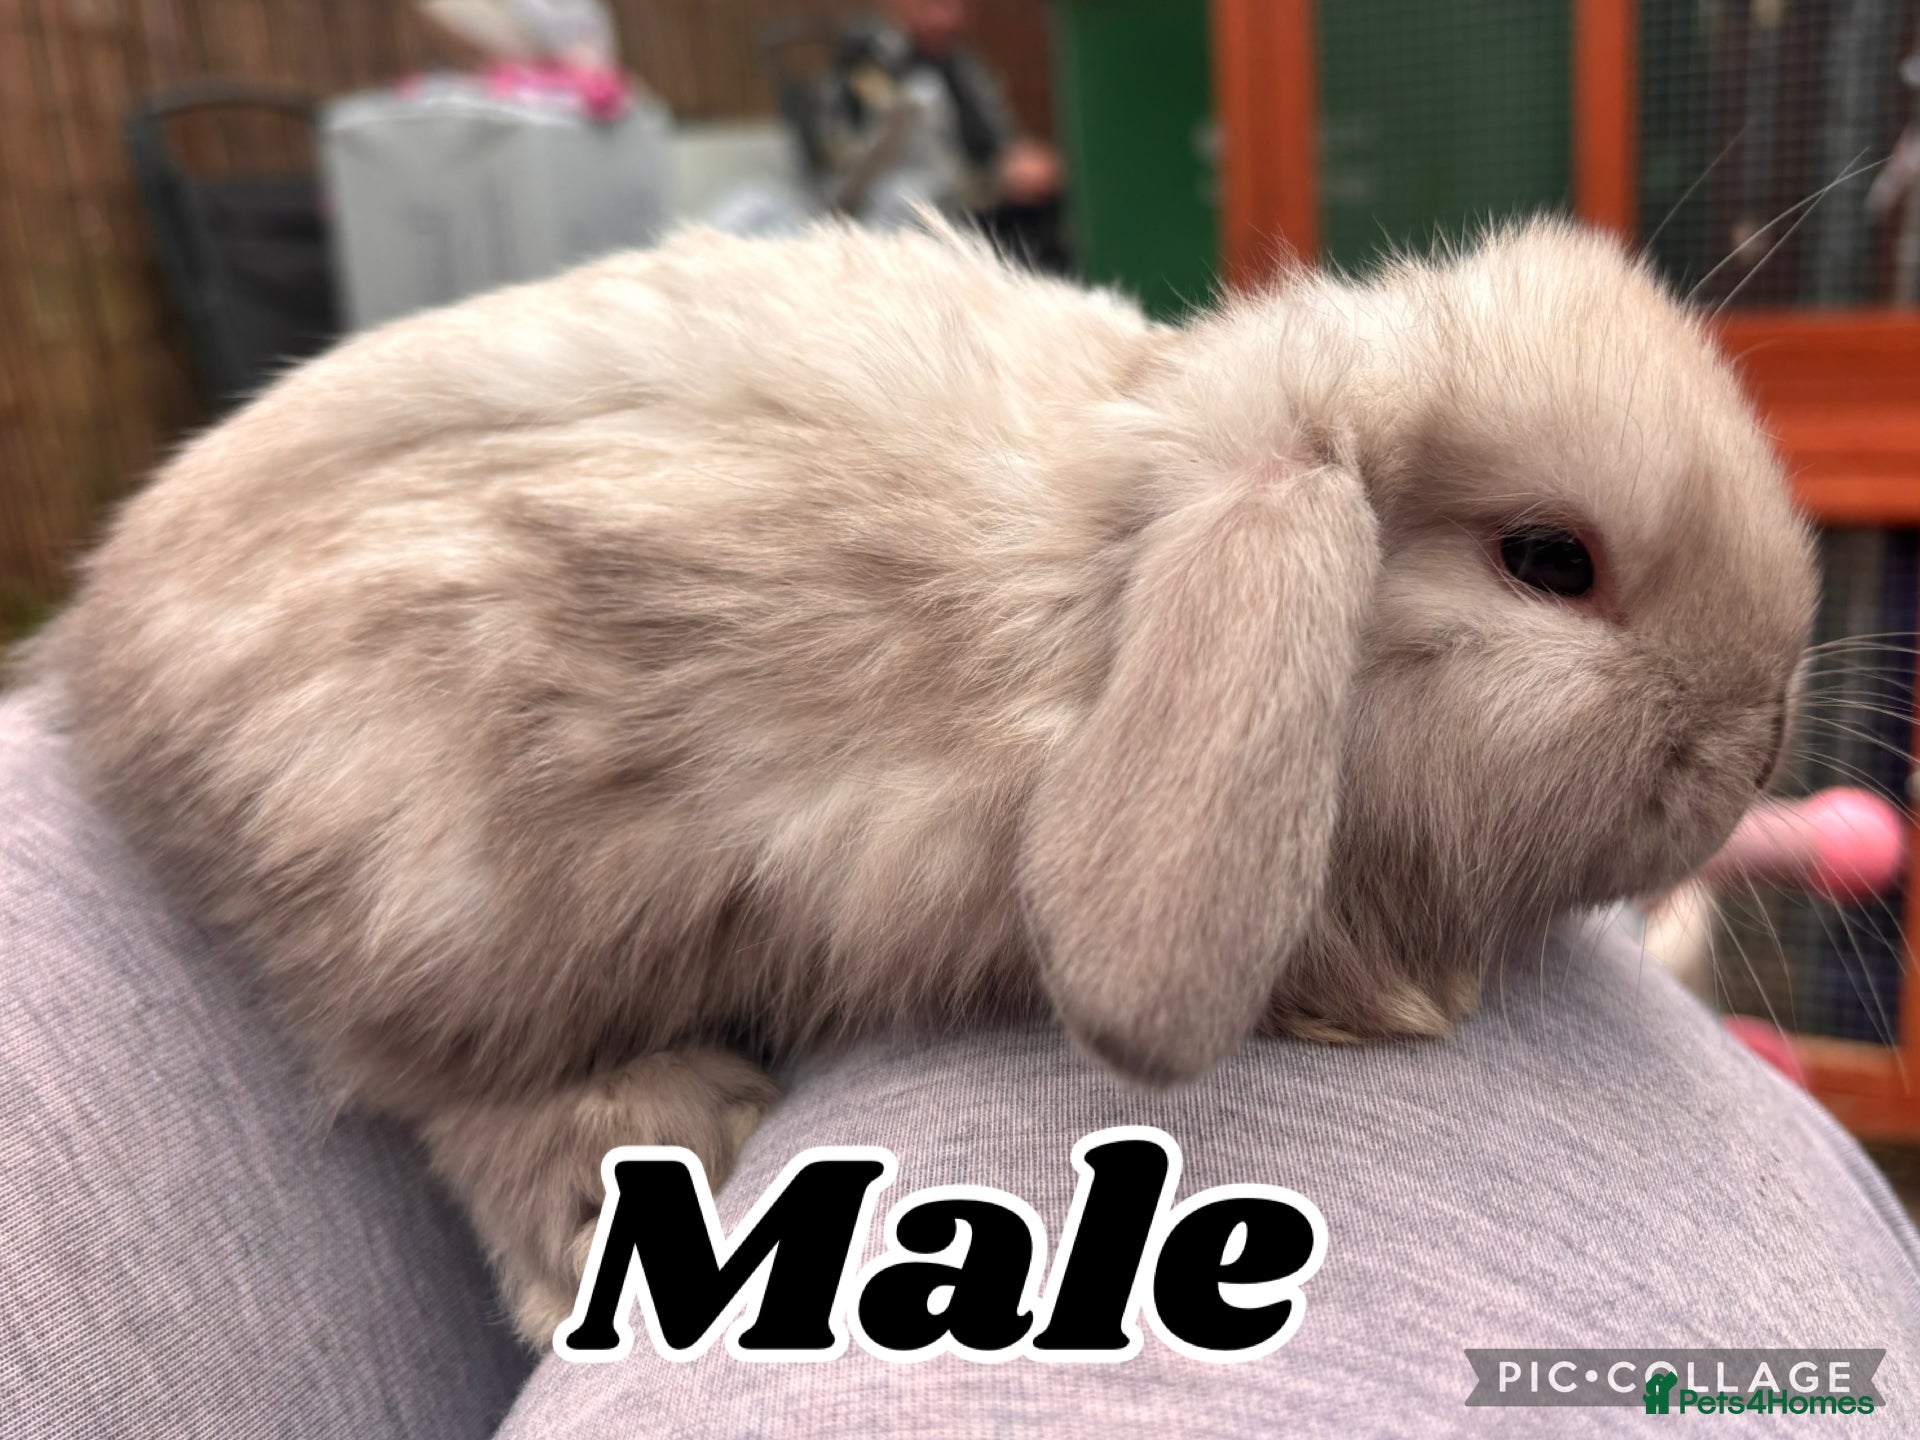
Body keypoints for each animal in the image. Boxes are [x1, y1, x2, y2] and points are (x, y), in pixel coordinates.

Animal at [23, 215, 1816, 1344]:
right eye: (1550, 562)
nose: (1761, 745)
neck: (1120, 570)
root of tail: (97, 645)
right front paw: (1391, 1003)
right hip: (441, 879)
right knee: (433, 1073)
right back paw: (643, 1157)